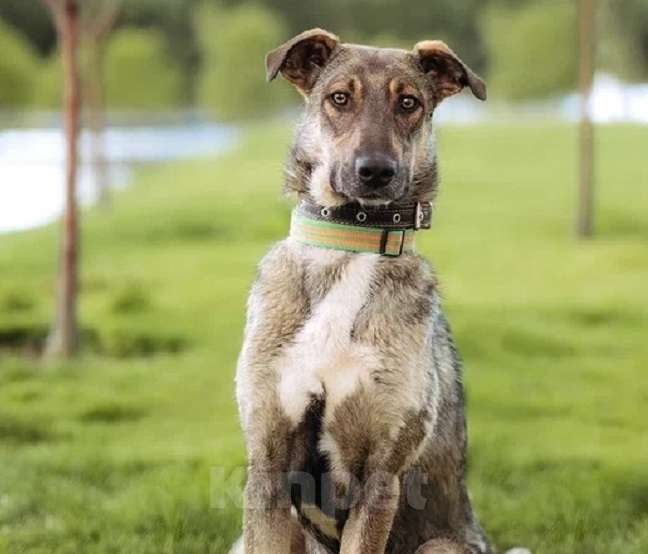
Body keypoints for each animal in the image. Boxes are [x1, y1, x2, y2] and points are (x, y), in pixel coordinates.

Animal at [235, 29, 494, 552]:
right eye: (339, 98)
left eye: (409, 102)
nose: (375, 171)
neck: (349, 245)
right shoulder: (268, 467)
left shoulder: (381, 475)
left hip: (441, 545)